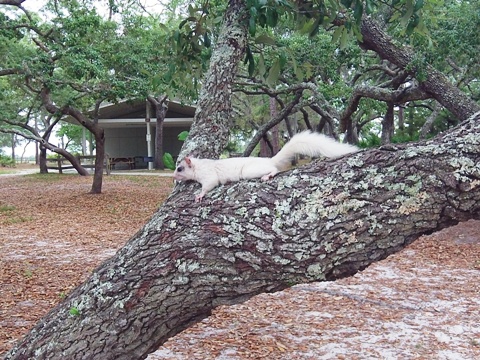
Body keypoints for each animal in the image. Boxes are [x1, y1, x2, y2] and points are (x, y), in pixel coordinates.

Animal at [172, 131, 356, 201]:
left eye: (180, 168)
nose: (174, 176)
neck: (198, 166)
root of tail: (269, 160)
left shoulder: (208, 174)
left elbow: (210, 184)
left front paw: (199, 194)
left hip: (250, 171)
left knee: (275, 169)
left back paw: (268, 175)